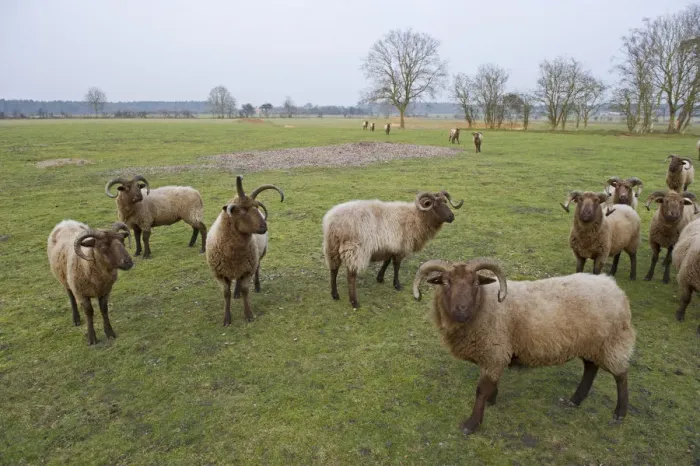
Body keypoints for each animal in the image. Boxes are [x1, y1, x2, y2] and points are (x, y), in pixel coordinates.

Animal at [206, 176, 284, 326]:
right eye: (241, 210)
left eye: (256, 207)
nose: (264, 226)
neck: (233, 254)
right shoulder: (220, 274)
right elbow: (226, 294)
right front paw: (227, 319)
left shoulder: (248, 270)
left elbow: (245, 290)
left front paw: (248, 315)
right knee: (237, 279)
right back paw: (236, 293)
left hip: (258, 256)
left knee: (257, 269)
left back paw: (257, 287)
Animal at [322, 190, 463, 309]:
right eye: (435, 205)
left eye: (445, 202)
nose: (452, 217)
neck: (416, 217)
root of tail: (334, 223)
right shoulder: (400, 247)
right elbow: (396, 265)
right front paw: (397, 285)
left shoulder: (390, 246)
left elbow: (387, 261)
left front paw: (380, 278)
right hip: (355, 250)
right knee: (350, 276)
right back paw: (354, 302)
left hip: (332, 247)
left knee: (333, 270)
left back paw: (335, 294)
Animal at [412, 258, 635, 435]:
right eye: (445, 282)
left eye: (475, 282)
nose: (462, 310)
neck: (484, 304)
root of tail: (614, 286)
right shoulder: (495, 355)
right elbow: (491, 384)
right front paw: (492, 399)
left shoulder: (494, 352)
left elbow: (481, 390)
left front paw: (472, 424)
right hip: (591, 343)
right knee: (590, 368)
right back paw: (575, 400)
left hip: (612, 342)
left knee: (621, 375)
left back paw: (619, 414)